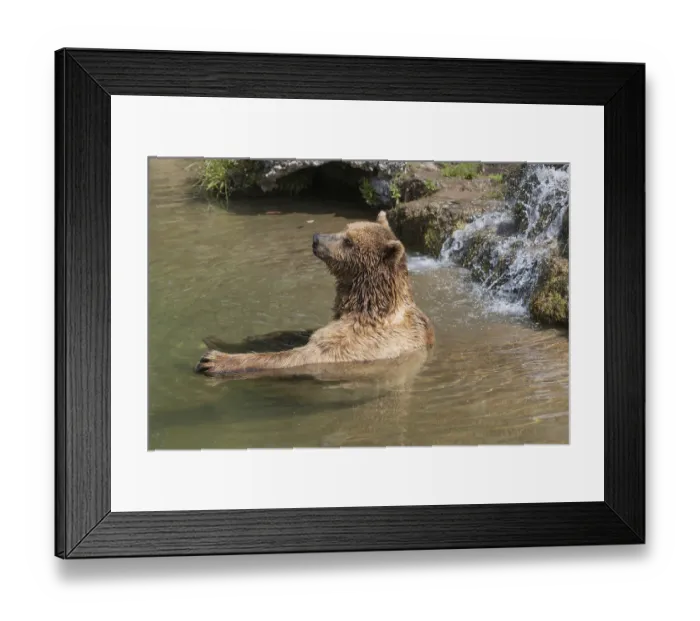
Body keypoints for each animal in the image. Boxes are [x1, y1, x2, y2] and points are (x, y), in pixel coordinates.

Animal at [194, 210, 435, 377]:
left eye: (349, 241)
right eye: (345, 229)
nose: (317, 238)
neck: (365, 304)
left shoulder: (357, 342)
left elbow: (300, 356)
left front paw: (213, 360)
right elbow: (307, 333)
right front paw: (259, 336)